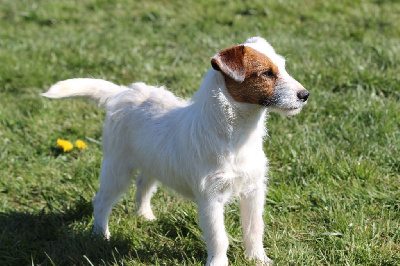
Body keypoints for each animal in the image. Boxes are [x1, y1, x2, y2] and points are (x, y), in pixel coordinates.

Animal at [41, 36, 310, 264]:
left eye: (283, 68)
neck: (237, 134)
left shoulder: (253, 189)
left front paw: (258, 259)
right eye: (267, 73)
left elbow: (254, 229)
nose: (305, 94)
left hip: (153, 163)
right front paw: (219, 262)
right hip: (117, 168)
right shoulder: (210, 198)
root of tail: (122, 93)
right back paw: (101, 235)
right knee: (102, 201)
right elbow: (218, 237)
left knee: (143, 186)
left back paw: (145, 216)